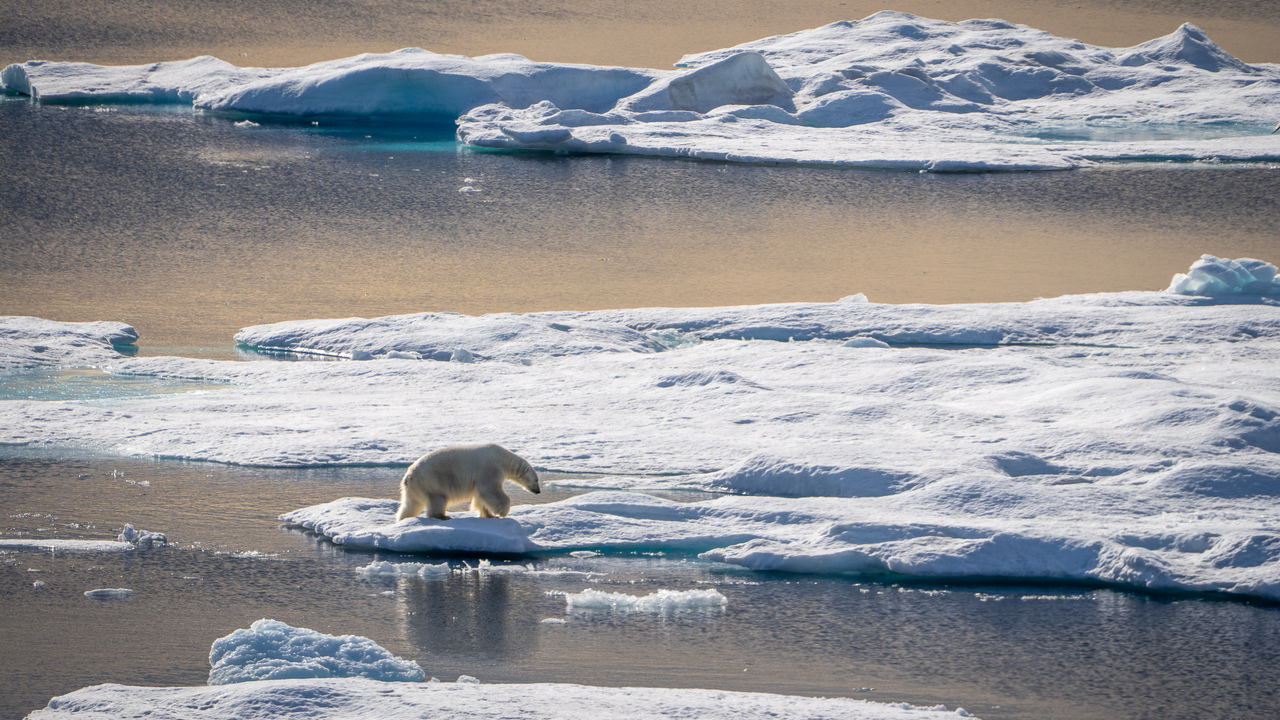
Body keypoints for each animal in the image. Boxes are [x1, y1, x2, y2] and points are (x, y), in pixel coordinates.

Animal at [396, 444, 541, 521]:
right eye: (536, 480)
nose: (538, 491)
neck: (503, 459)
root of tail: (408, 476)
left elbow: (480, 497)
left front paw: (489, 515)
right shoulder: (490, 469)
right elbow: (490, 490)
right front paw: (502, 512)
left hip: (414, 487)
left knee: (411, 504)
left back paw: (404, 518)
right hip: (431, 481)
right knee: (438, 499)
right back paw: (443, 516)